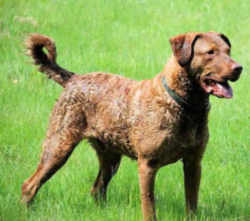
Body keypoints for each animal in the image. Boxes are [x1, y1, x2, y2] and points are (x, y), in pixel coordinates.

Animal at [21, 32, 242, 220]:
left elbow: (192, 202)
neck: (184, 106)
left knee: (97, 189)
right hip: (58, 146)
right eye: (210, 52)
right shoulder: (147, 164)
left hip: (110, 157)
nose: (239, 68)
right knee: (29, 185)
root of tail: (74, 79)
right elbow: (149, 206)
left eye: (228, 50)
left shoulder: (194, 162)